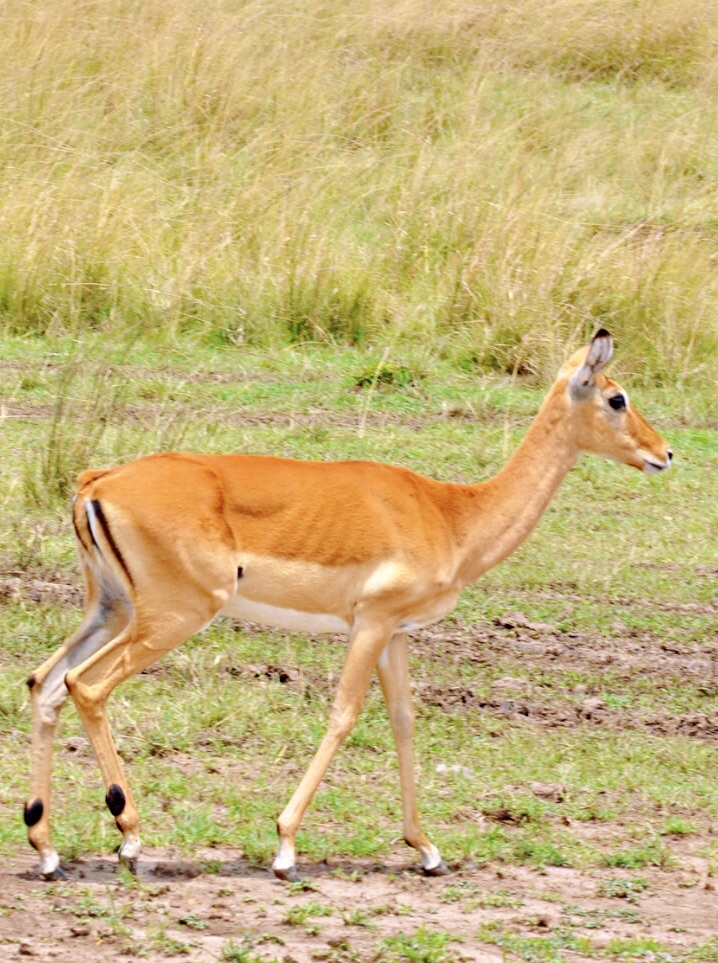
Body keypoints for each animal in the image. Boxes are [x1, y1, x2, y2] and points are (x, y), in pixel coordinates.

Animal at [23, 332, 676, 880]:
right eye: (616, 397)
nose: (665, 454)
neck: (453, 515)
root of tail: (98, 482)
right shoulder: (371, 622)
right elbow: (343, 714)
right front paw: (286, 847)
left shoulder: (396, 633)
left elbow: (405, 721)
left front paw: (427, 849)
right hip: (172, 617)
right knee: (86, 686)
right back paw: (129, 837)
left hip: (110, 610)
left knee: (44, 682)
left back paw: (47, 848)